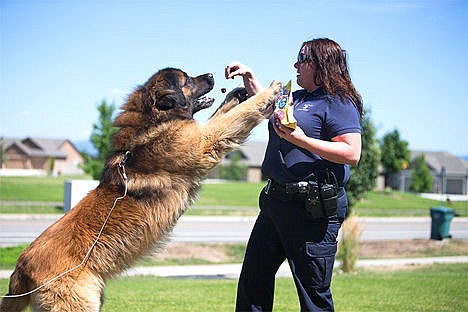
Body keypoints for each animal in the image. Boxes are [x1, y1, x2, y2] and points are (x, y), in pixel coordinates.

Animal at [0, 69, 282, 312]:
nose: (212, 75)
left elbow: (223, 113)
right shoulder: (203, 142)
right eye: (186, 79)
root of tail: (20, 269)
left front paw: (237, 93)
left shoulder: (198, 133)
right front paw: (268, 92)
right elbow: (233, 118)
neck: (154, 120)